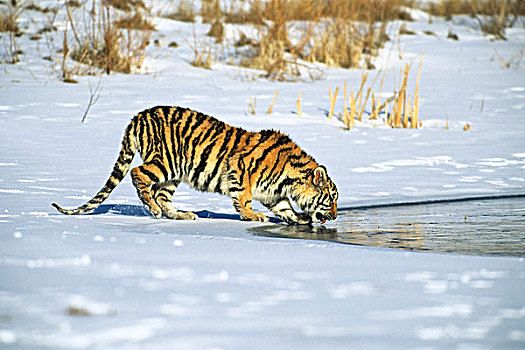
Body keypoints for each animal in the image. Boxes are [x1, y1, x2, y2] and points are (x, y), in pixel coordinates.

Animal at [53, 105, 338, 224]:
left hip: (173, 175)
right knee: (137, 174)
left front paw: (300, 218)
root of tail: (138, 116)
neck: (290, 180)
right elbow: (244, 198)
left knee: (161, 195)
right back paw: (152, 209)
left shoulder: (274, 194)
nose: (336, 216)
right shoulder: (241, 170)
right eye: (332, 199)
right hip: (164, 161)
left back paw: (180, 215)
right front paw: (252, 216)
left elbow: (285, 208)